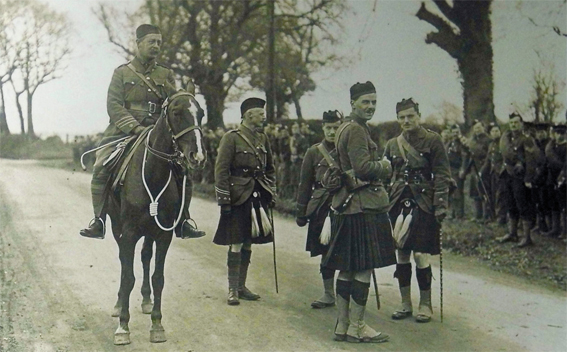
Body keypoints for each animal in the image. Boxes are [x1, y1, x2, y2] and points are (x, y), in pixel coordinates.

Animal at [106, 87, 206, 344]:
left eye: (201, 113)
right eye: (176, 112)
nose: (198, 157)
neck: (153, 174)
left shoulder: (163, 234)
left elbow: (158, 277)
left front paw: (157, 325)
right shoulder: (129, 232)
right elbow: (127, 276)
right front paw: (123, 327)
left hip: (150, 231)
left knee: (145, 256)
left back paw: (146, 300)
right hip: (117, 227)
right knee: (123, 261)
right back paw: (119, 304)